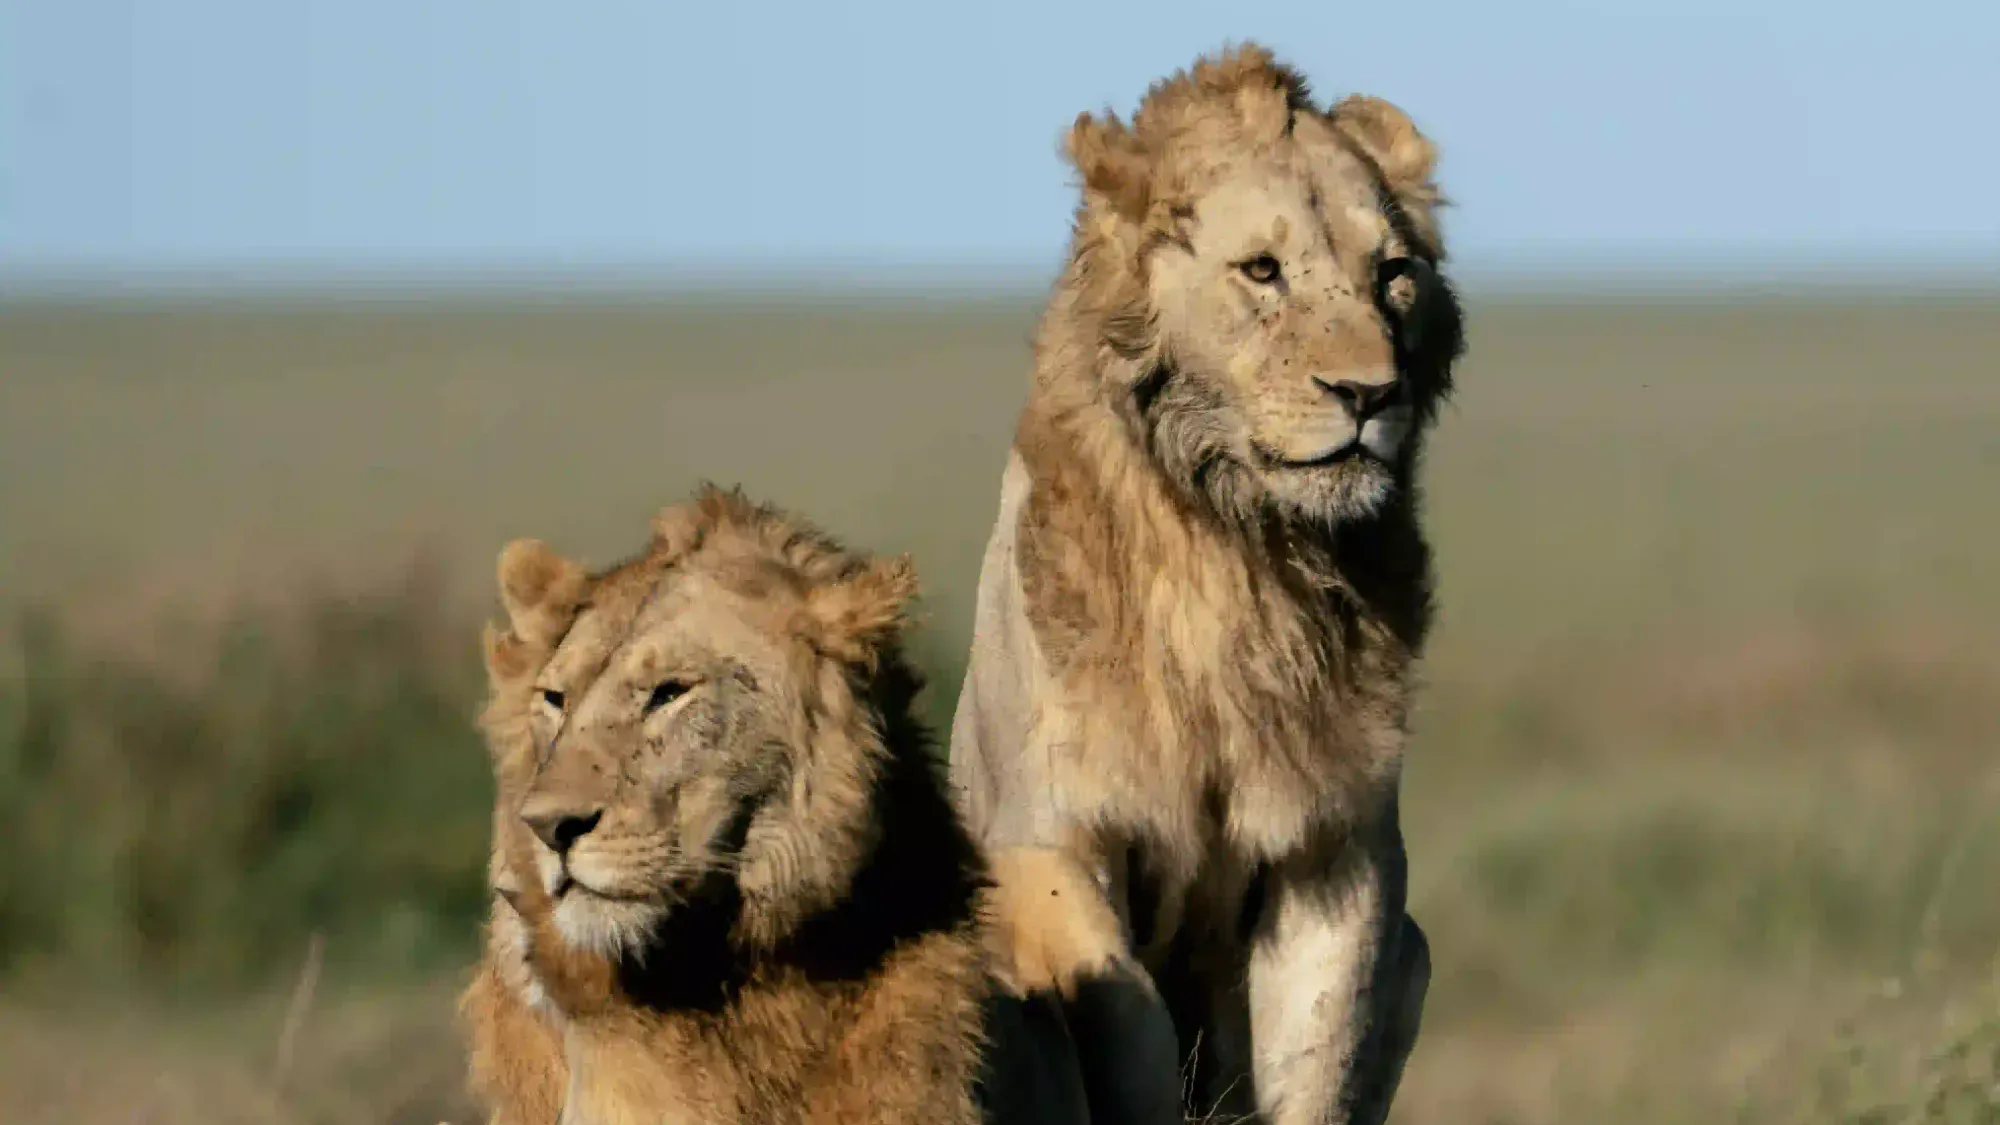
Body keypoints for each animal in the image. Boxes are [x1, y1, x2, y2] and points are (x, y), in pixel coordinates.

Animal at [947, 44, 1463, 1125]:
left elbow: (1320, 1047)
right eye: (1261, 271)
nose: (1369, 394)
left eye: (1392, 276)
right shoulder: (1050, 839)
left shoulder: (1335, 852)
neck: (1237, 560)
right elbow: (1126, 1017)